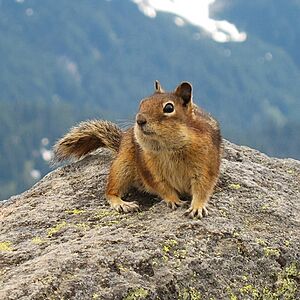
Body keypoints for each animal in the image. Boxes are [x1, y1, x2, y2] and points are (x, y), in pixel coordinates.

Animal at [54, 81, 221, 219]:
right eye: (142, 102)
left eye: (169, 108)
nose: (139, 120)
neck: (169, 148)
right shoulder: (150, 170)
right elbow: (162, 187)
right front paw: (173, 200)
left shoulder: (206, 165)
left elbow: (202, 188)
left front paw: (197, 207)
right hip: (122, 166)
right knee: (110, 191)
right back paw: (123, 204)